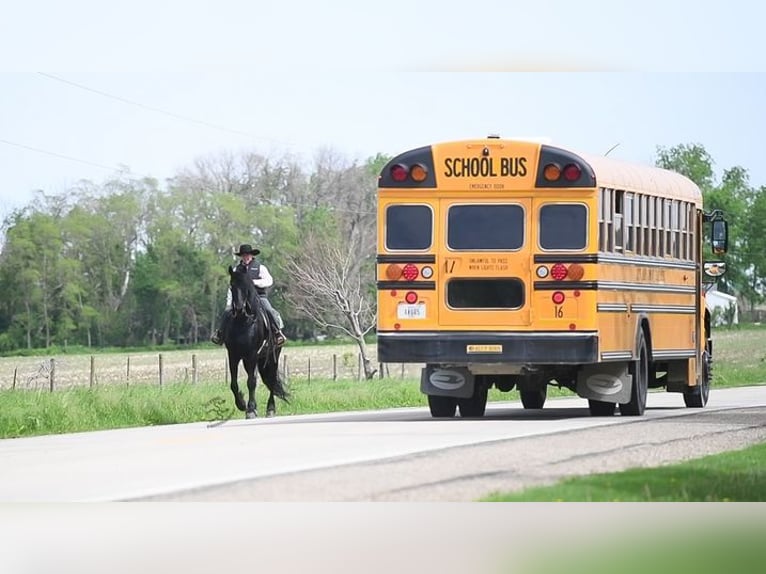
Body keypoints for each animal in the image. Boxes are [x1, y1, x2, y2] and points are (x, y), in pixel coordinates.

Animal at [226, 264, 292, 418]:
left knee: (272, 380)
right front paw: (241, 404)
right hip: (255, 360)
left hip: (272, 357)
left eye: (246, 286)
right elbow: (233, 383)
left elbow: (251, 382)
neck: (243, 323)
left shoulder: (252, 355)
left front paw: (250, 409)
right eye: (232, 286)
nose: (239, 309)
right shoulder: (234, 356)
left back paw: (270, 409)